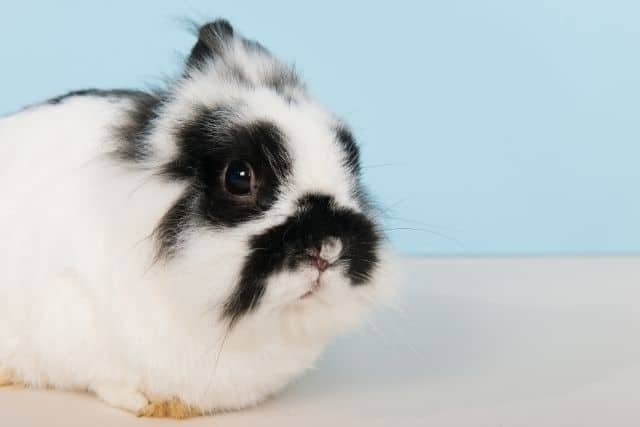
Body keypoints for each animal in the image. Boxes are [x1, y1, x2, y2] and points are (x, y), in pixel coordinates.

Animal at [0, 19, 393, 418]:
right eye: (238, 177)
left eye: (352, 163)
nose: (328, 250)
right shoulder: (72, 308)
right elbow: (107, 379)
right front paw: (143, 403)